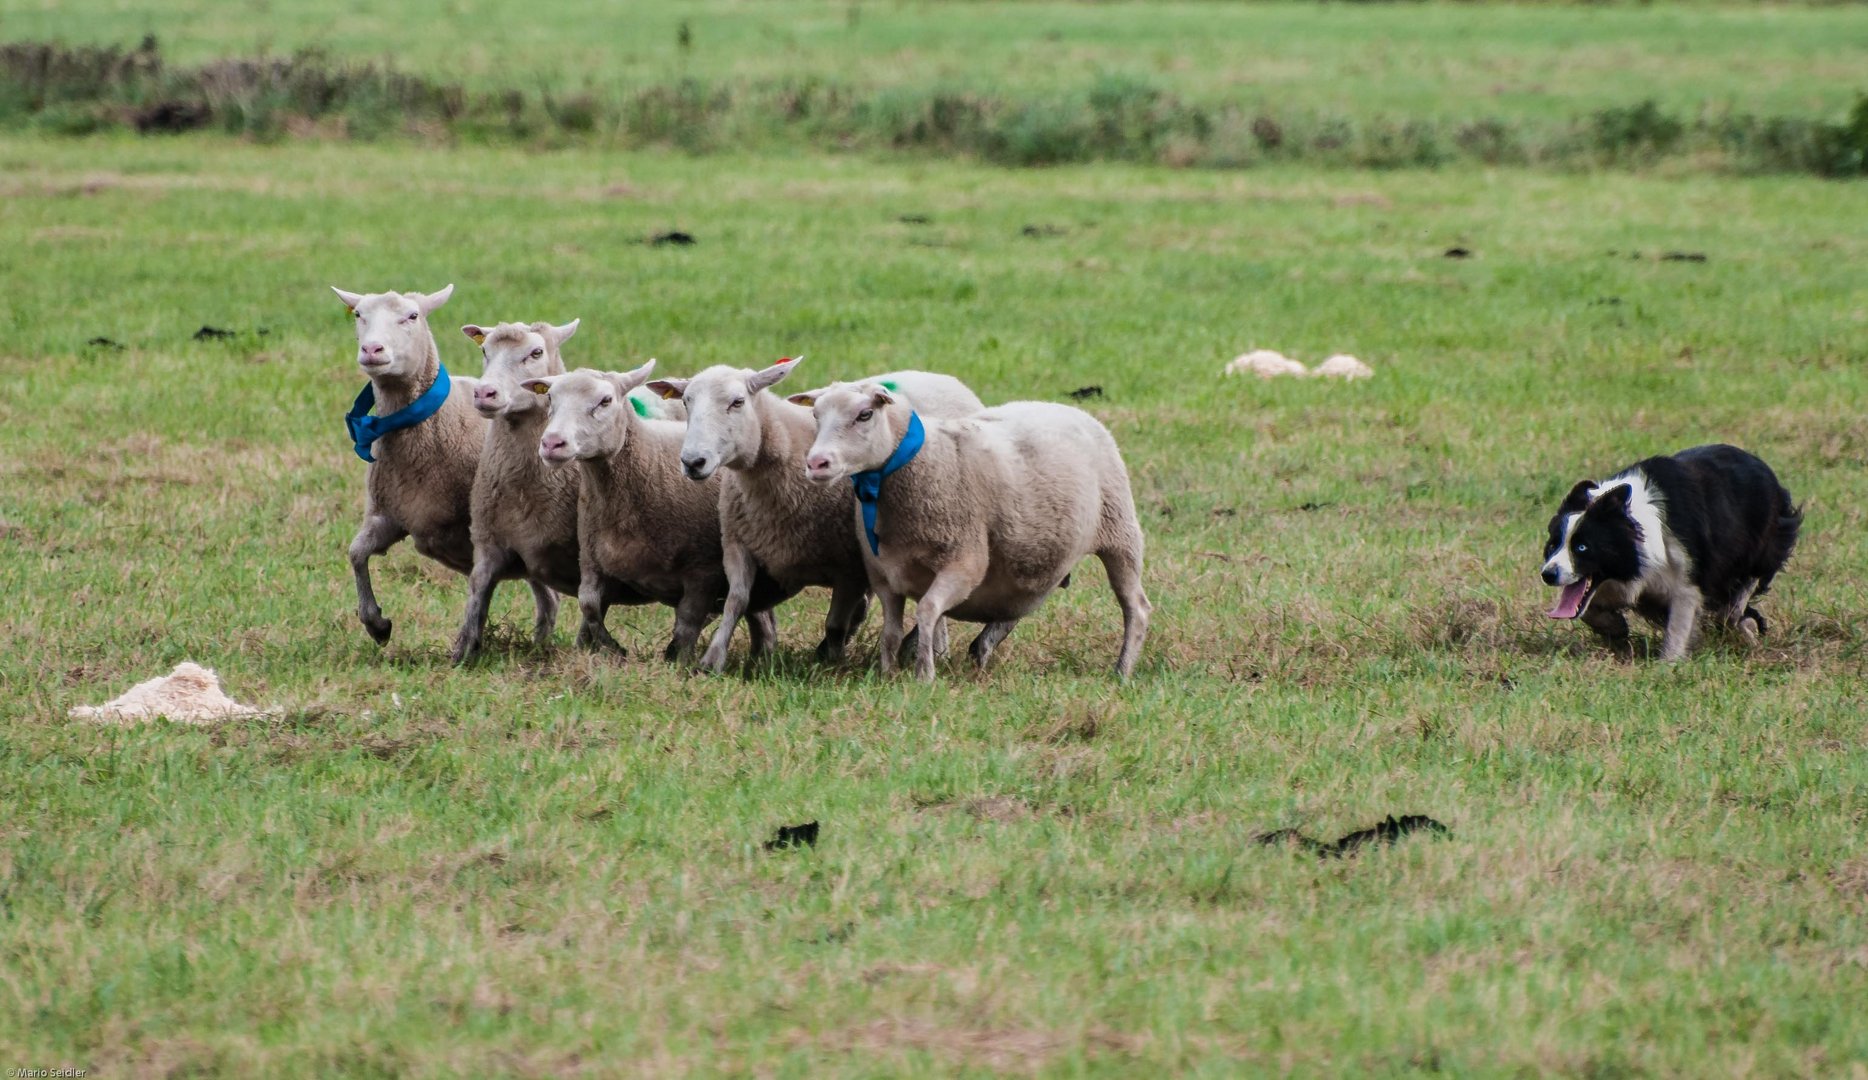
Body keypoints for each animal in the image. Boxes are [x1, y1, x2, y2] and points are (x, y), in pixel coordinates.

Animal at [446, 315, 582, 661]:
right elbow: (478, 589)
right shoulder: (489, 537)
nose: (484, 393)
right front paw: (462, 652)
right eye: (484, 350)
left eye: (536, 353)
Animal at [523, 366, 777, 661]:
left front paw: (677, 659)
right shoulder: (591, 560)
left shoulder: (703, 570)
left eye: (605, 401)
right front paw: (614, 649)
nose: (552, 443)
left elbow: (688, 623)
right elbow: (589, 605)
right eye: (550, 398)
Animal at [642, 356, 986, 668]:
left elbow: (834, 624)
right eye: (686, 402)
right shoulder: (738, 543)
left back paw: (937, 651)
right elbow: (735, 602)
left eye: (737, 402)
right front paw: (712, 660)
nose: (692, 462)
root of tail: (944, 378)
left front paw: (831, 665)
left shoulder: (849, 566)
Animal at [792, 383, 1143, 676]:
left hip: (1121, 533)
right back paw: (982, 654)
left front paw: (924, 674)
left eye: (864, 414)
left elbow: (927, 612)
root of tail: (1070, 409)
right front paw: (886, 675)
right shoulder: (884, 575)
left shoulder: (964, 563)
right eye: (815, 415)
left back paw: (1122, 671)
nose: (816, 463)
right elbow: (891, 631)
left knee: (1136, 609)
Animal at [1539, 442, 1800, 657]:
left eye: (1582, 547)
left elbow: (1680, 621)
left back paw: (1742, 627)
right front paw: (1615, 627)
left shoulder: (1688, 575)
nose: (1547, 574)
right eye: (1552, 545)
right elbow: (1588, 609)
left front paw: (1668, 665)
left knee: (1742, 593)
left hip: (1765, 539)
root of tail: (1761, 465)